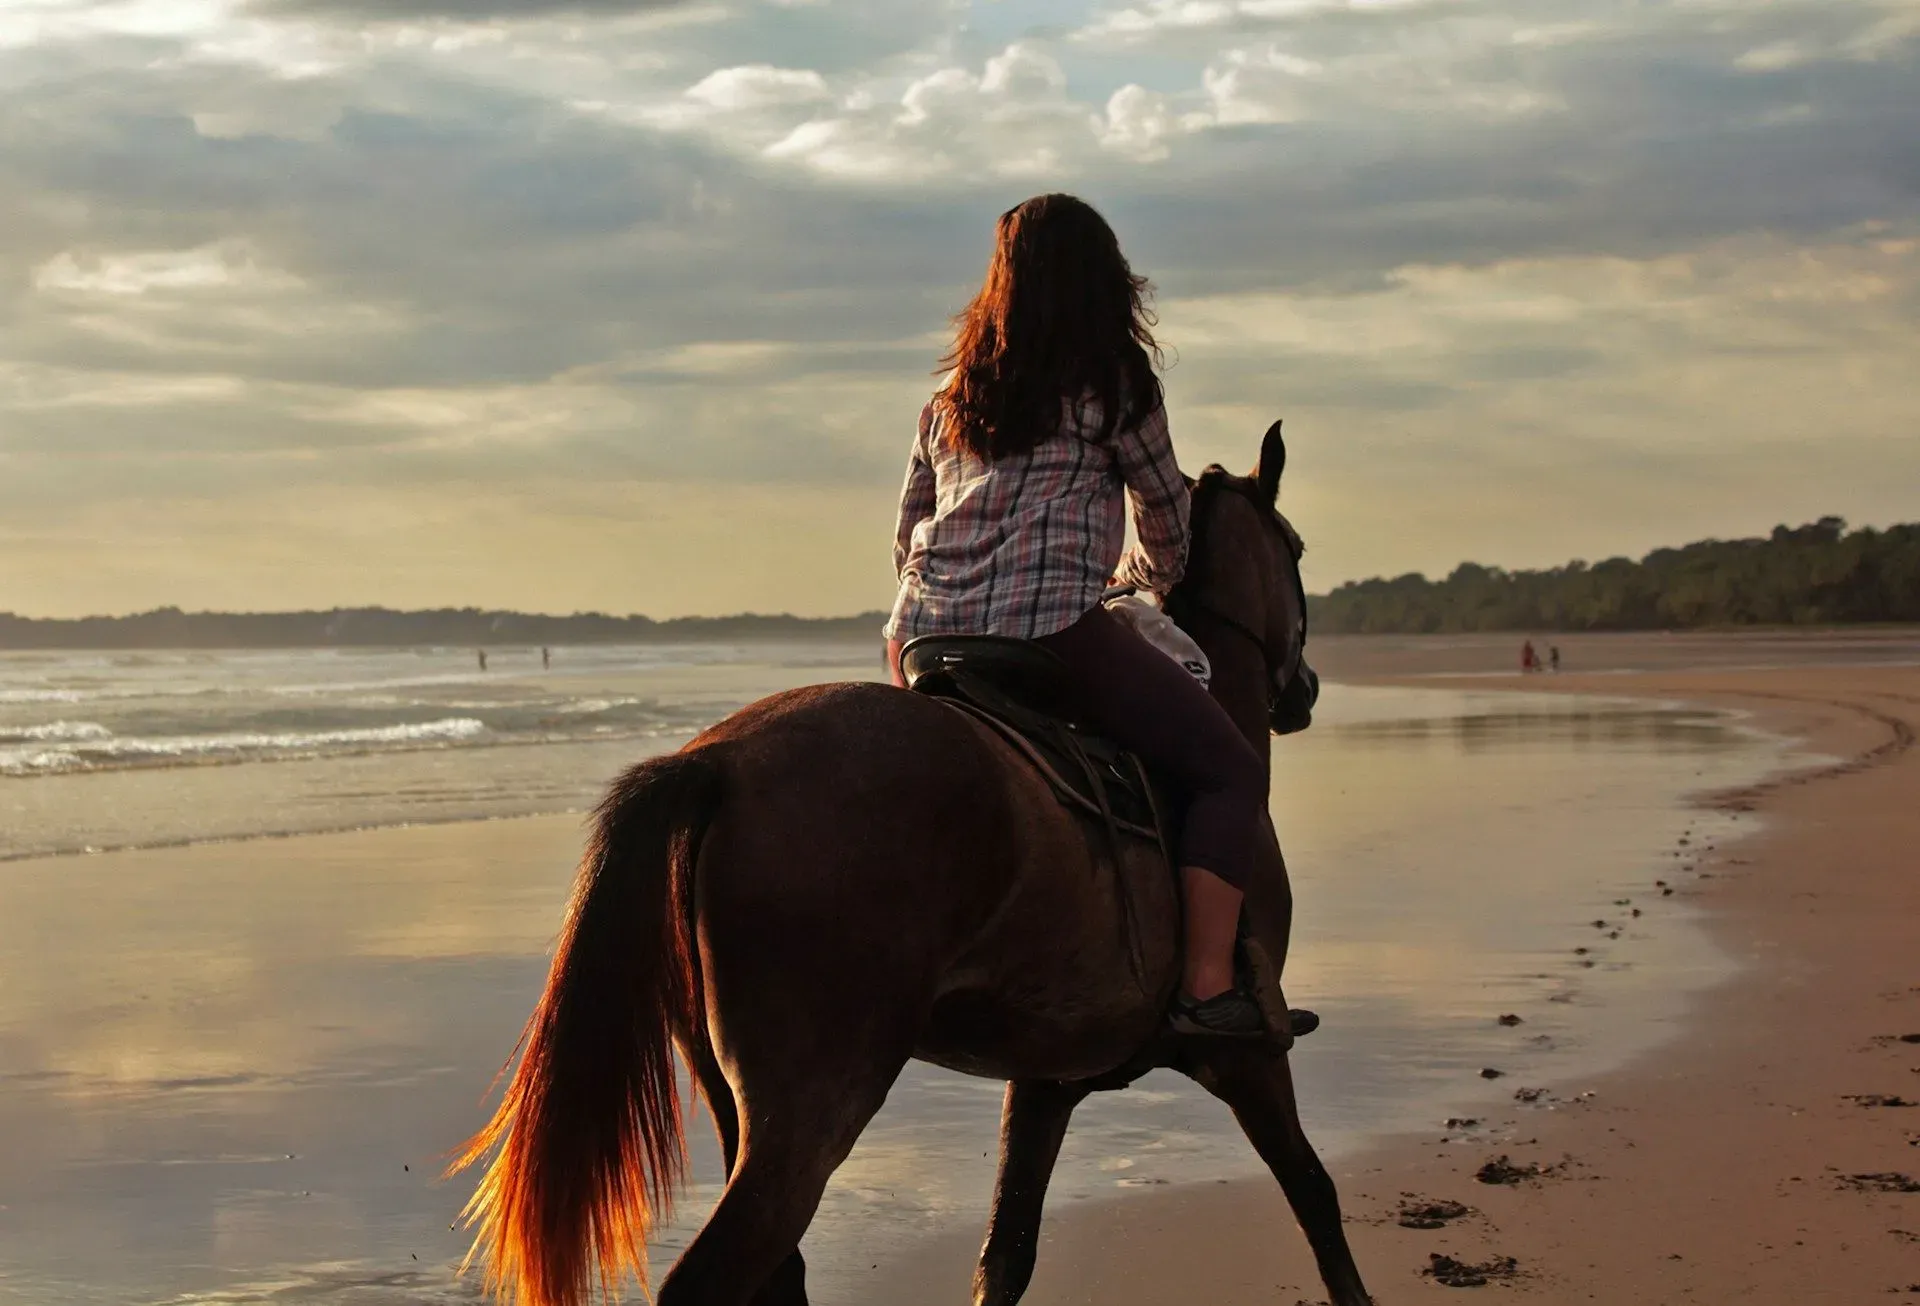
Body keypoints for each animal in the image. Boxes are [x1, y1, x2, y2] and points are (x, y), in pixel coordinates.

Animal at [453, 420, 1375, 1306]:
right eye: (1295, 548)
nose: (1307, 690)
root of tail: (715, 764)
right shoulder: (1251, 1058)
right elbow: (1318, 1203)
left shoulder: (1045, 1082)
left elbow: (1005, 1258)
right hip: (813, 1108)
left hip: (736, 1098)